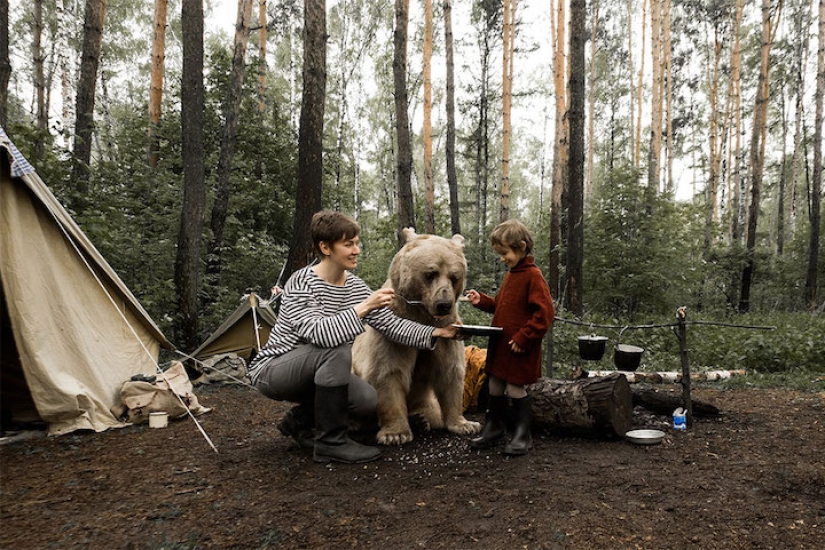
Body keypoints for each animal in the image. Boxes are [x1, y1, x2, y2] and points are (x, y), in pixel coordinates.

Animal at [352, 228, 482, 445]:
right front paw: (395, 434)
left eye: (454, 277)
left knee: (432, 411)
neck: (421, 317)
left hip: (426, 402)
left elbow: (450, 372)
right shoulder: (392, 329)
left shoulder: (446, 331)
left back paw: (421, 420)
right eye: (431, 273)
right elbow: (388, 371)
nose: (443, 305)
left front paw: (465, 424)